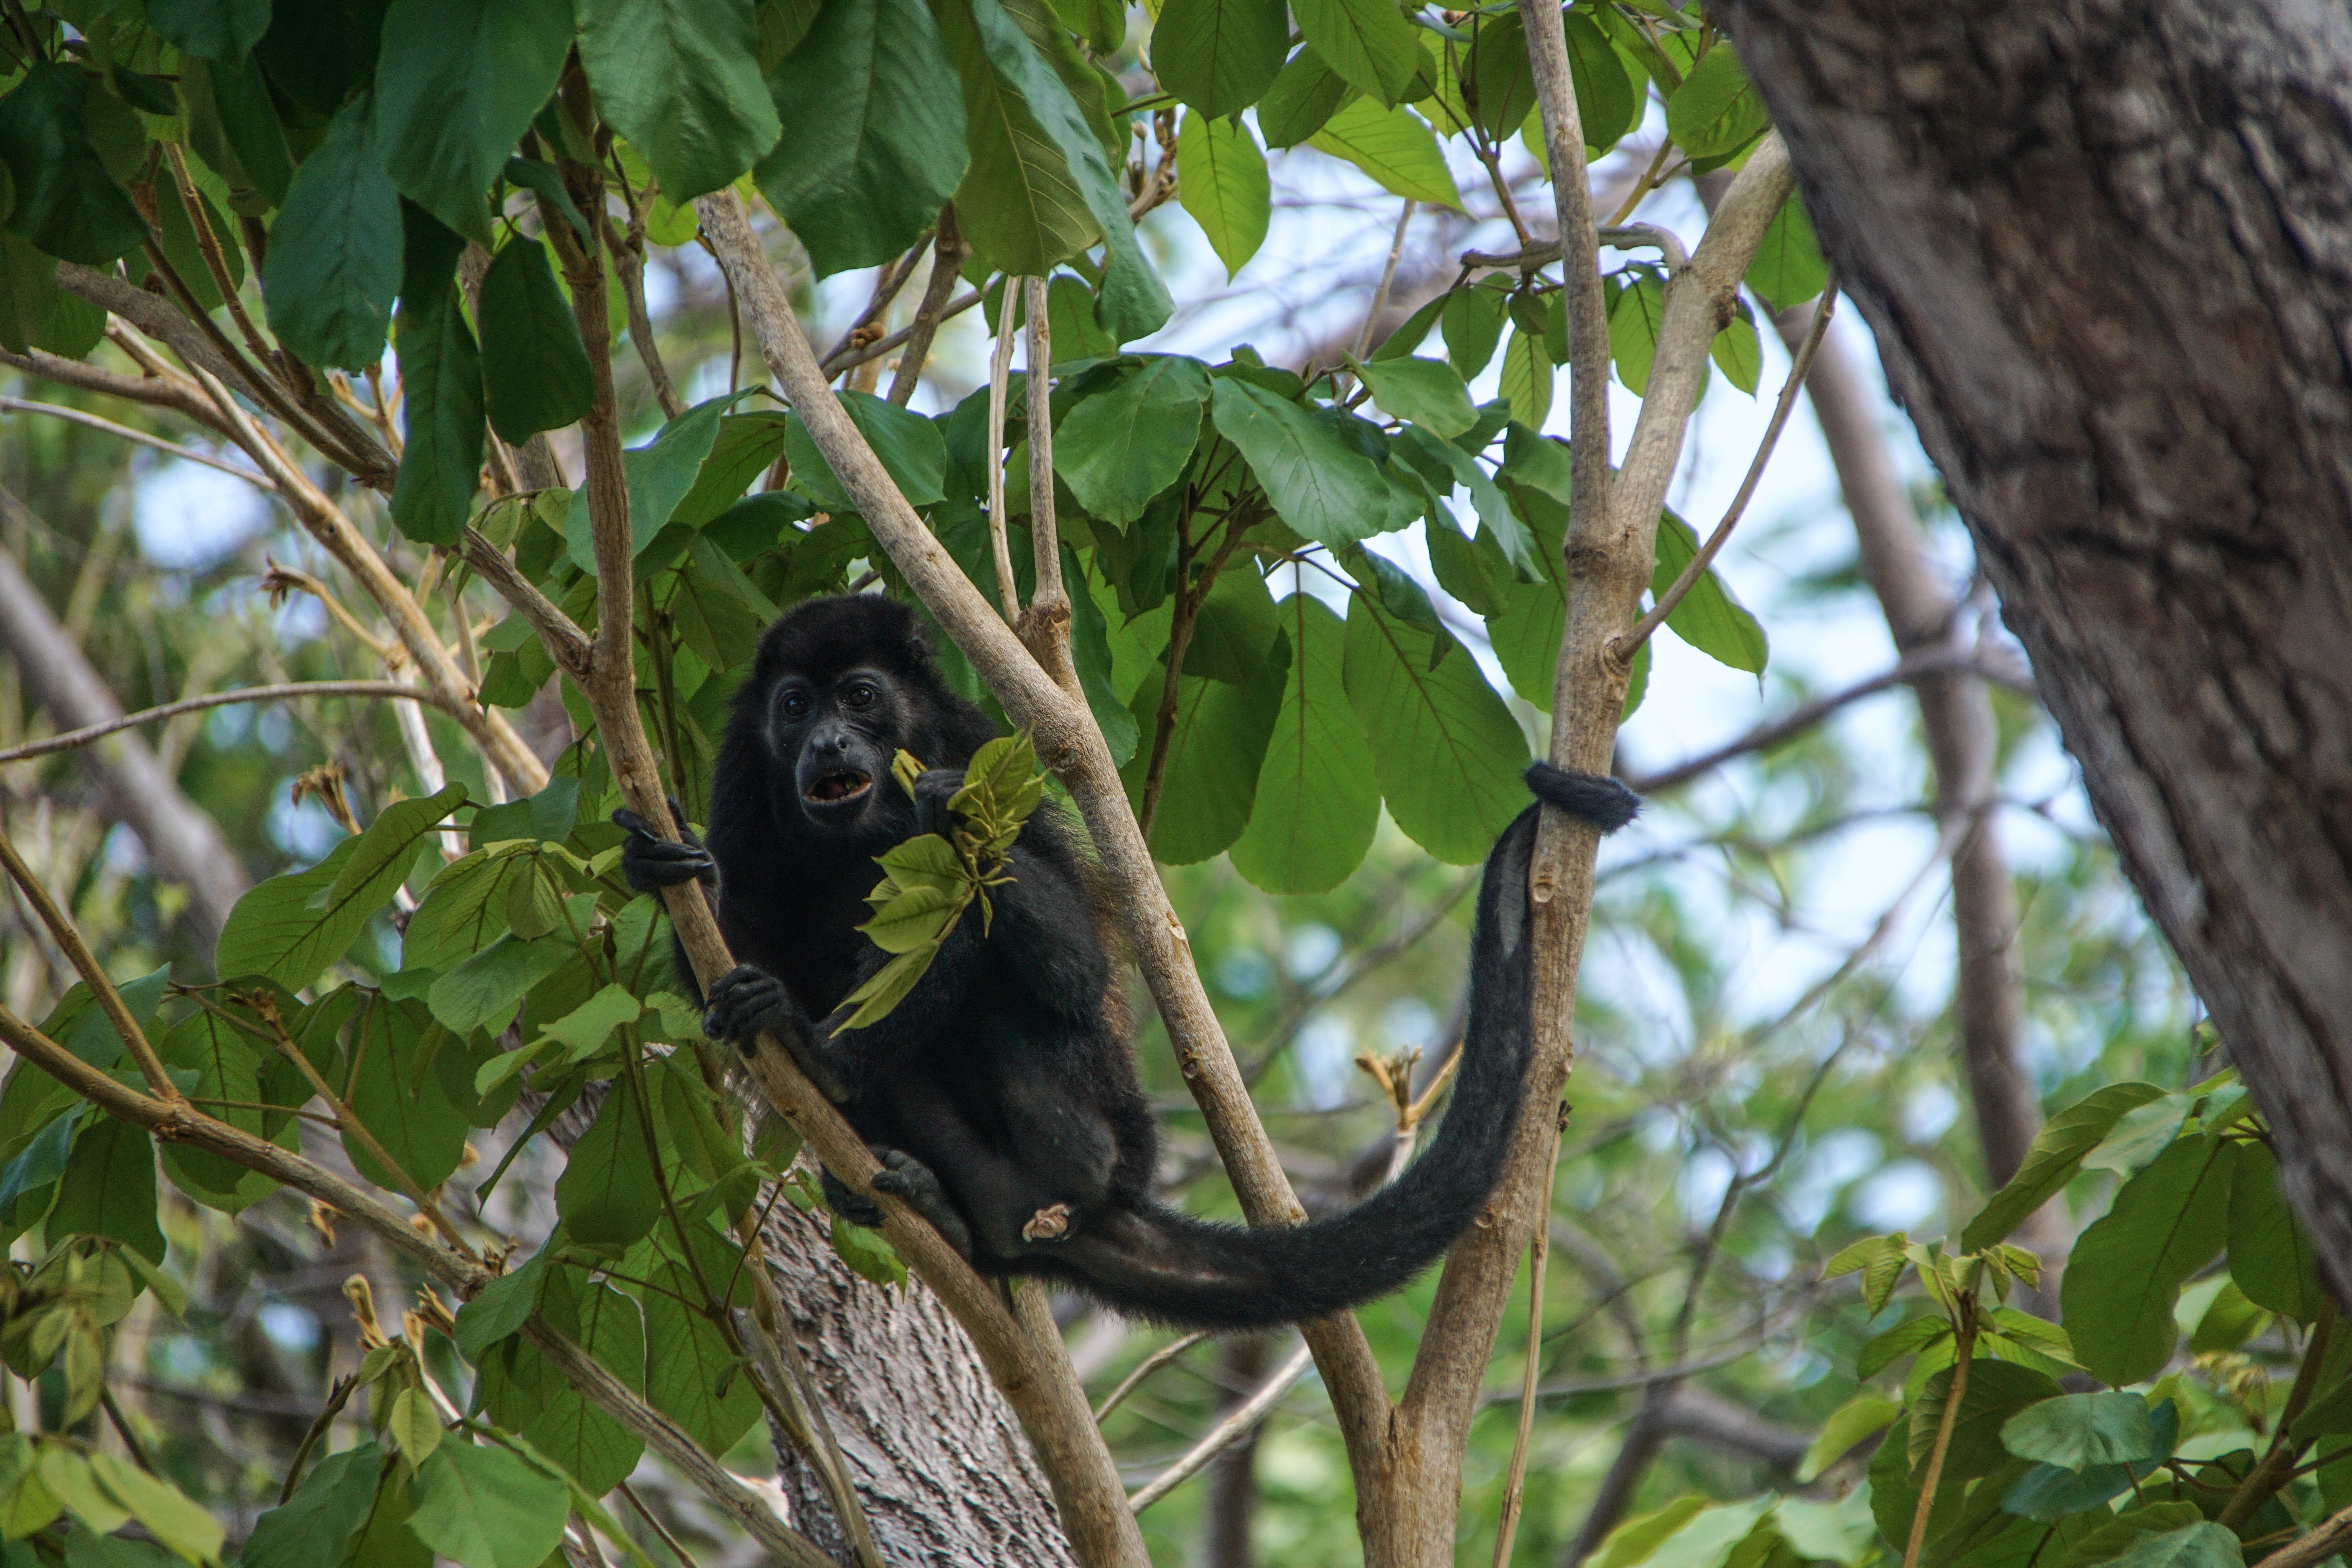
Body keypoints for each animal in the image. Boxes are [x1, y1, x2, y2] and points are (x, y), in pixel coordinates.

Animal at [616, 593, 1639, 1330]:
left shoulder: (977, 745)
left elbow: (1071, 963)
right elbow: (724, 955)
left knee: (988, 965)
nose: (827, 740)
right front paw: (664, 870)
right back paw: (937, 1197)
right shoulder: (742, 770)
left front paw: (954, 817)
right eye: (796, 706)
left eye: (859, 696)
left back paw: (839, 1067)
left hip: (1095, 1123)